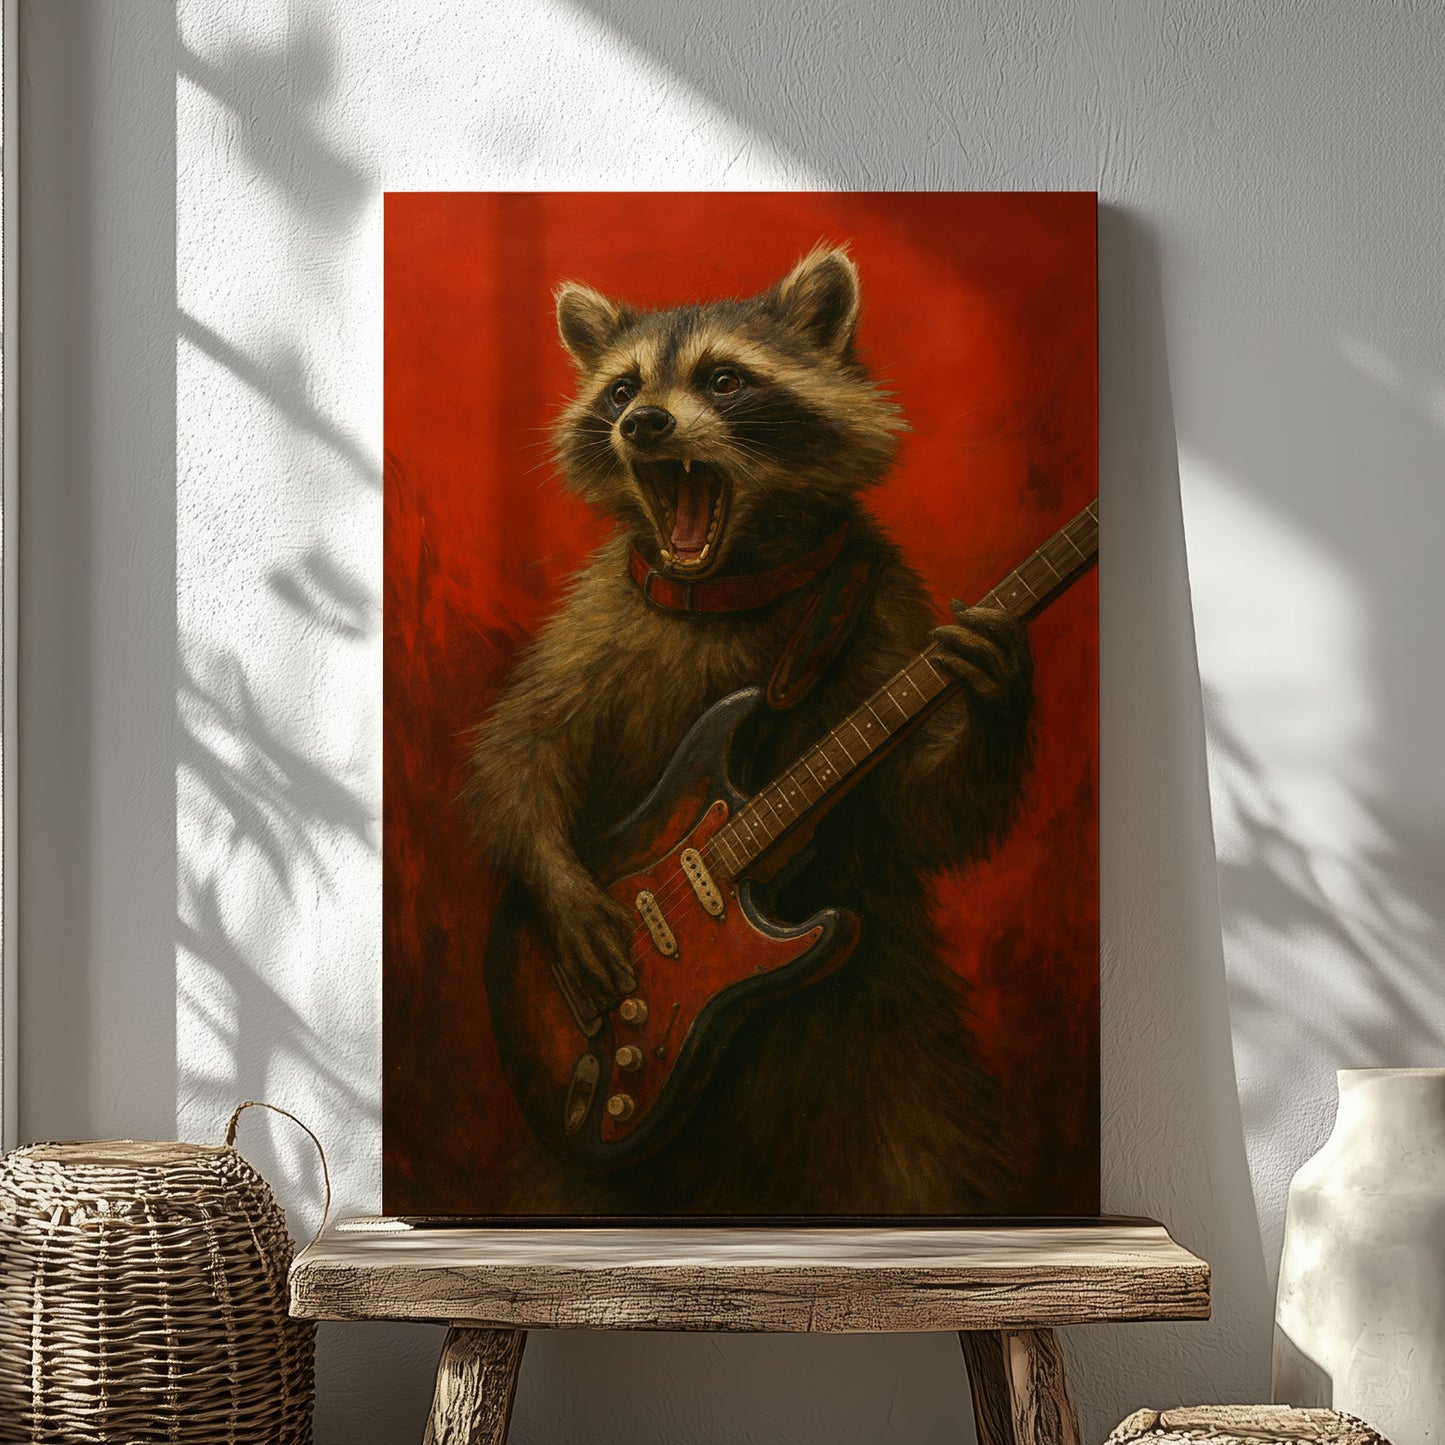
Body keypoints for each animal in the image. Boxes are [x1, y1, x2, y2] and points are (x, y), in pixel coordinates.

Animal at [464, 246, 1034, 1216]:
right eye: (621, 389)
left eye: (724, 380)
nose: (645, 423)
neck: (729, 582)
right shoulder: (592, 625)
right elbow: (521, 753)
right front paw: (569, 897)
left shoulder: (885, 611)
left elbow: (915, 812)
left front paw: (993, 690)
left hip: (885, 1050)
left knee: (921, 1159)